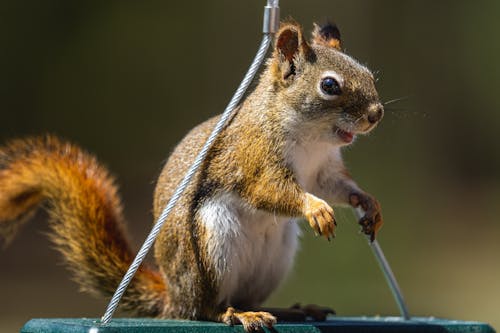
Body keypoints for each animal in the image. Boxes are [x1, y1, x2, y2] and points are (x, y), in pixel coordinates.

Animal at [0, 22, 382, 330]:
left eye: (368, 73)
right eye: (329, 85)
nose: (376, 114)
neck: (311, 139)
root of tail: (175, 297)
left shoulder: (323, 169)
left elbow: (334, 187)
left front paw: (368, 204)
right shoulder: (254, 155)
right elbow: (268, 190)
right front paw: (316, 209)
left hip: (274, 257)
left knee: (241, 298)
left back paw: (289, 310)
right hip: (211, 245)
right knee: (207, 309)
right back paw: (237, 315)